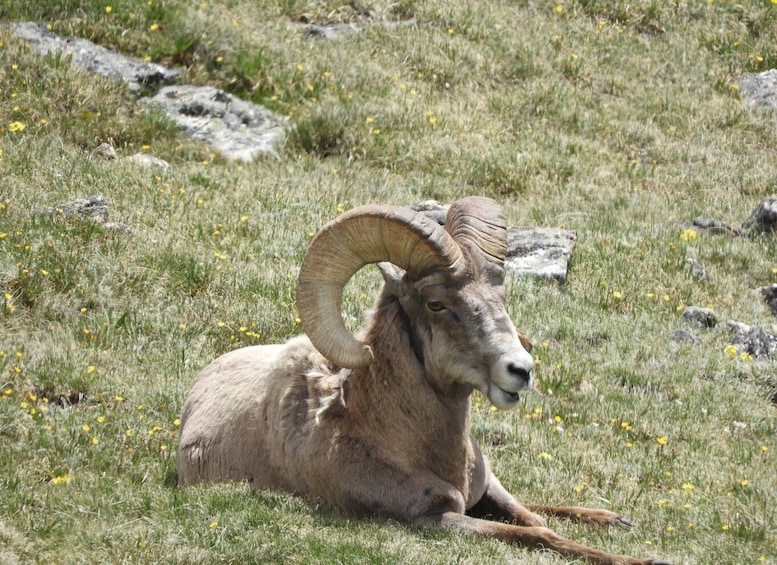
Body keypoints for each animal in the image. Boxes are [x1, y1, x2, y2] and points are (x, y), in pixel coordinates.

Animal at [177, 197, 668, 564]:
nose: (521, 369)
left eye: (501, 295)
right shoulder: (434, 520)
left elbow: (536, 520)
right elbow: (539, 535)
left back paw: (614, 518)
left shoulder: (487, 488)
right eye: (436, 304)